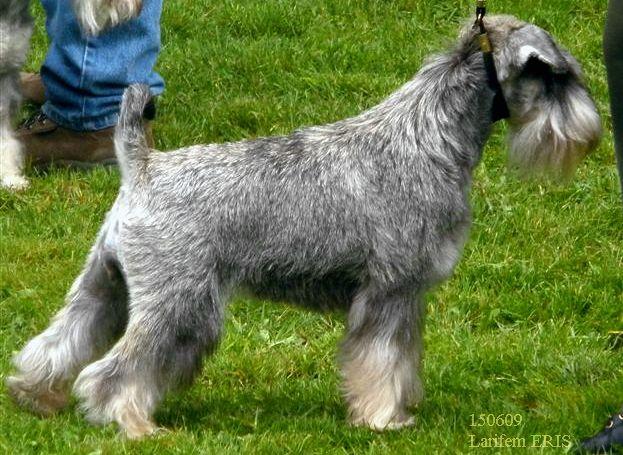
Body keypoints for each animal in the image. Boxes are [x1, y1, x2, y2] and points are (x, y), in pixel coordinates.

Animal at [7, 15, 601, 438]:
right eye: (558, 76)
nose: (592, 133)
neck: (430, 134)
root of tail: (143, 166)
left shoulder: (408, 296)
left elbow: (403, 358)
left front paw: (402, 408)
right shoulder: (389, 290)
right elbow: (382, 360)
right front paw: (383, 419)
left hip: (107, 285)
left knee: (61, 340)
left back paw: (36, 394)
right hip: (180, 304)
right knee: (116, 371)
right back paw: (133, 424)